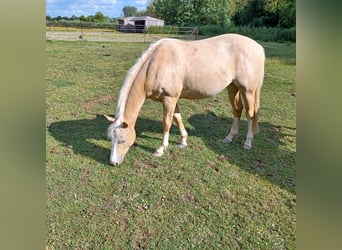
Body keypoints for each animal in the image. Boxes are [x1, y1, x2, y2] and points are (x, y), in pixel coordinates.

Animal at [104, 33, 264, 166]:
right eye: (111, 139)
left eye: (122, 140)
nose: (113, 162)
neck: (155, 65)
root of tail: (258, 47)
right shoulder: (172, 99)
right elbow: (177, 117)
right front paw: (183, 141)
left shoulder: (169, 98)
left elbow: (167, 123)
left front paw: (161, 149)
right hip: (233, 87)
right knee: (237, 109)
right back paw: (229, 137)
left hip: (248, 91)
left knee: (250, 113)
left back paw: (248, 142)